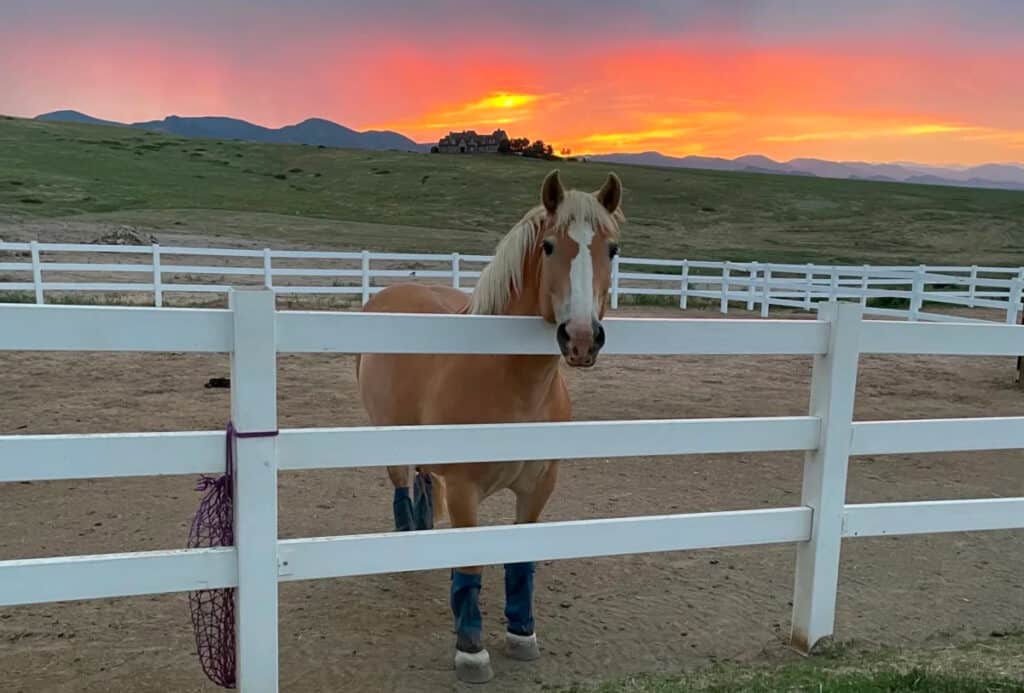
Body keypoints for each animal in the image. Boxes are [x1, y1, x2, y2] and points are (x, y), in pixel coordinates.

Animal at [352, 168, 622, 679]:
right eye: (549, 246)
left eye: (612, 249)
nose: (580, 338)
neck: (512, 383)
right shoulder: (464, 490)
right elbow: (473, 566)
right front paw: (471, 649)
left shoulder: (540, 486)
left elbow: (519, 560)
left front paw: (521, 632)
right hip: (389, 438)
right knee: (401, 487)